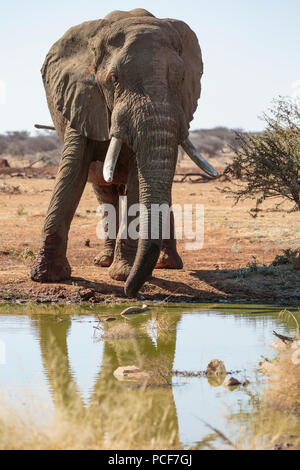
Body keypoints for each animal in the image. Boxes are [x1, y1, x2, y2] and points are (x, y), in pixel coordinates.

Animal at [30, 8, 217, 298]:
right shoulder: (81, 99)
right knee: (104, 193)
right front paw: (46, 277)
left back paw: (166, 265)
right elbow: (71, 173)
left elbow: (137, 181)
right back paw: (104, 261)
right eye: (113, 80)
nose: (131, 292)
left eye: (182, 80)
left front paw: (122, 275)